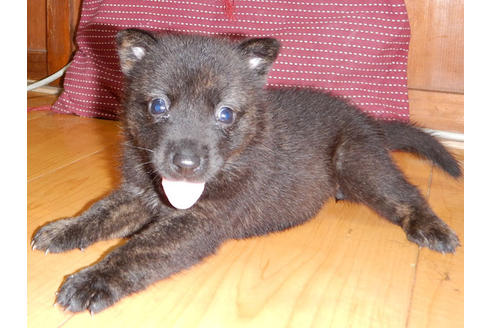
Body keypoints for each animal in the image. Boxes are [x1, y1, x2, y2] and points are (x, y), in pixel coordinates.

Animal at [30, 29, 462, 314]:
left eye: (225, 114)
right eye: (157, 106)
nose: (186, 165)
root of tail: (368, 120)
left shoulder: (200, 222)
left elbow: (139, 250)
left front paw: (92, 280)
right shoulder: (139, 192)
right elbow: (99, 212)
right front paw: (63, 229)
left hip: (359, 162)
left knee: (407, 195)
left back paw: (432, 228)